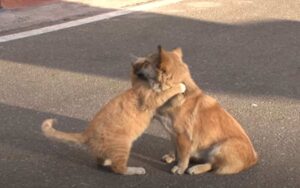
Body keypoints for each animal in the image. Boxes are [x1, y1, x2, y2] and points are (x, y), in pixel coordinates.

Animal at [41, 61, 186, 176]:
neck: (142, 83)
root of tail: (86, 132)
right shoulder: (153, 100)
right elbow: (167, 91)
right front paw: (180, 86)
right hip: (123, 145)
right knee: (118, 168)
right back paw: (136, 170)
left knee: (100, 160)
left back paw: (107, 161)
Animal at [137, 46, 256, 175]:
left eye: (146, 63)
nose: (134, 65)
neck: (177, 92)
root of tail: (254, 158)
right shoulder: (173, 134)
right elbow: (175, 148)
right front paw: (172, 156)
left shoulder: (183, 136)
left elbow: (183, 156)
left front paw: (180, 167)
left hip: (221, 147)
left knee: (212, 165)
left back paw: (196, 168)